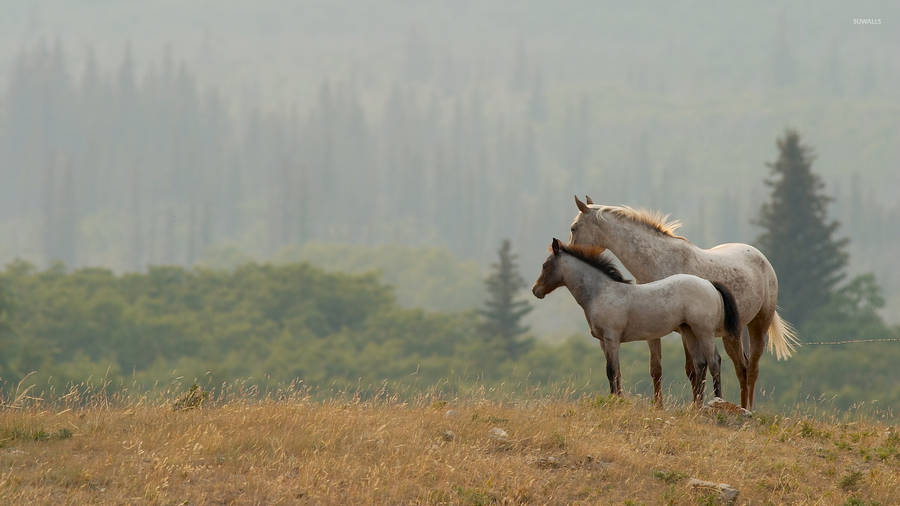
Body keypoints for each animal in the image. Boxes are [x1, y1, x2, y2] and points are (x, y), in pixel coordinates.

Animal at [568, 196, 796, 410]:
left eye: (573, 228)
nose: (569, 251)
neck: (659, 261)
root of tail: (761, 258)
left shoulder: (686, 330)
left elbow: (694, 369)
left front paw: (696, 405)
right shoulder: (654, 330)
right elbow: (657, 368)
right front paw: (659, 406)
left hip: (758, 325)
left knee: (750, 369)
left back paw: (746, 409)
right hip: (733, 333)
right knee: (743, 367)